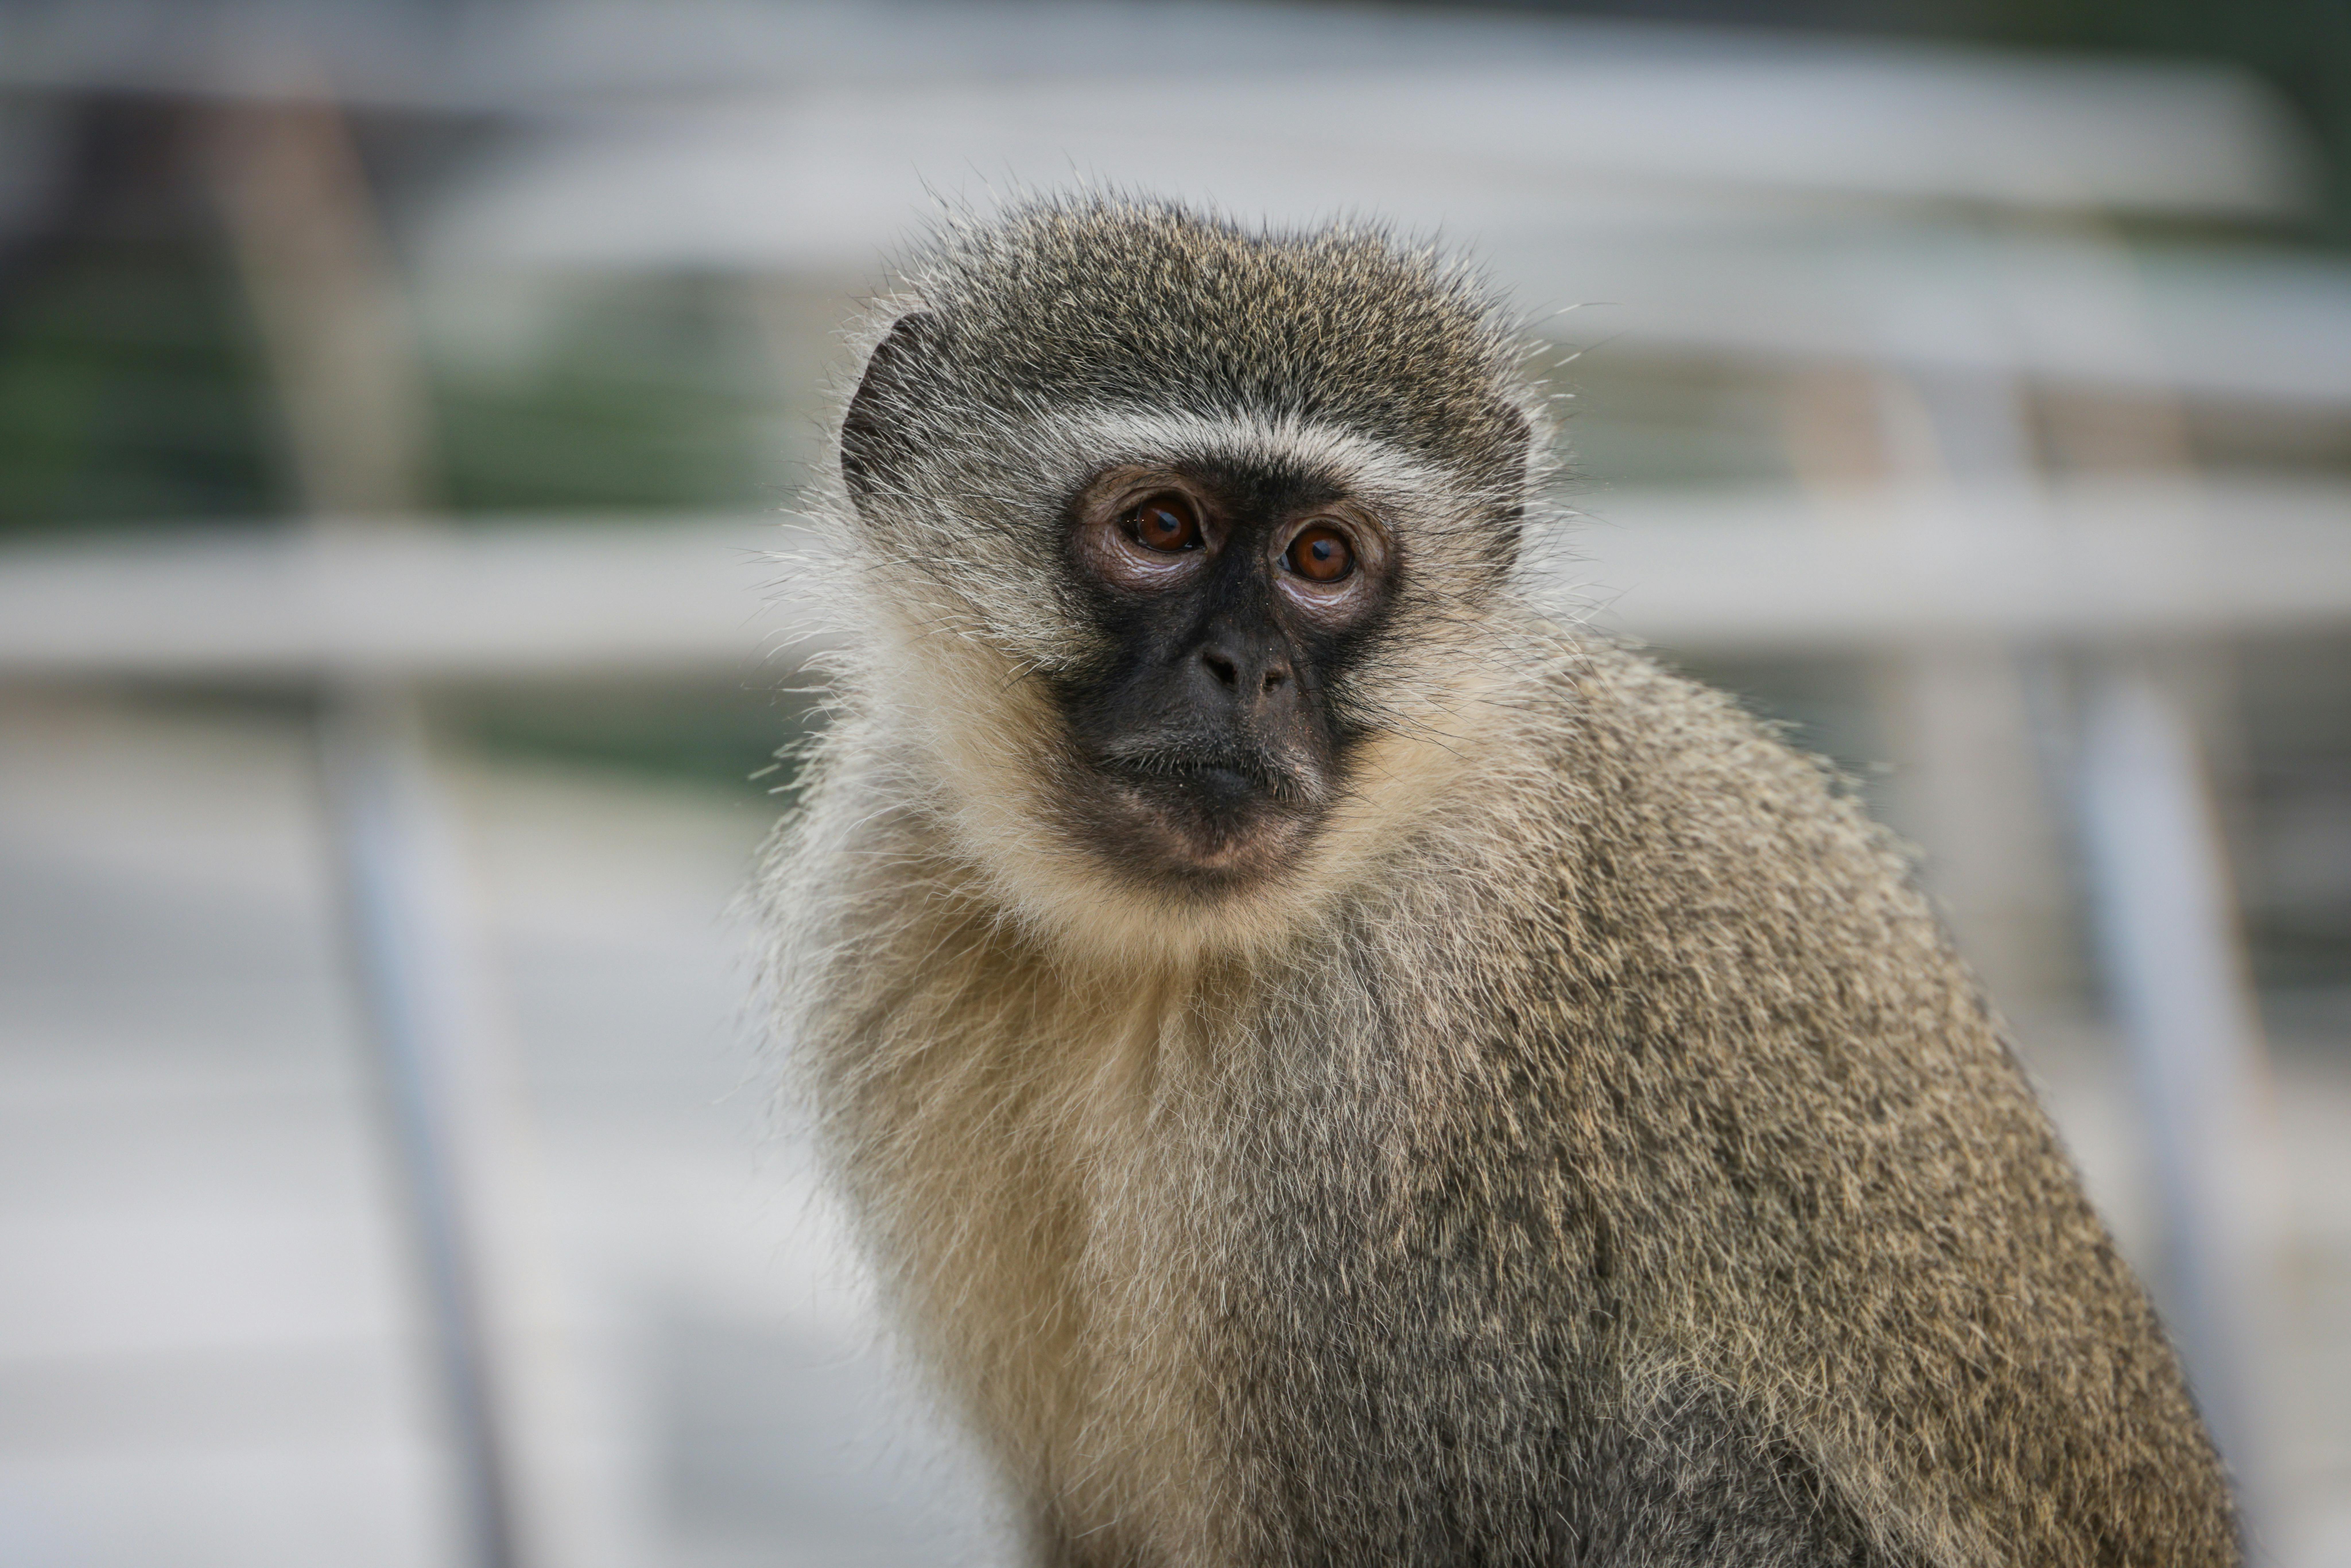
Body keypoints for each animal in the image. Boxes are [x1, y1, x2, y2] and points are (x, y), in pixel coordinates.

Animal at [757, 195, 2238, 1568]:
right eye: (1162, 526)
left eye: (1321, 559)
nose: (1245, 670)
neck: (1155, 950)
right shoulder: (890, 891)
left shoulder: (1347, 1079)